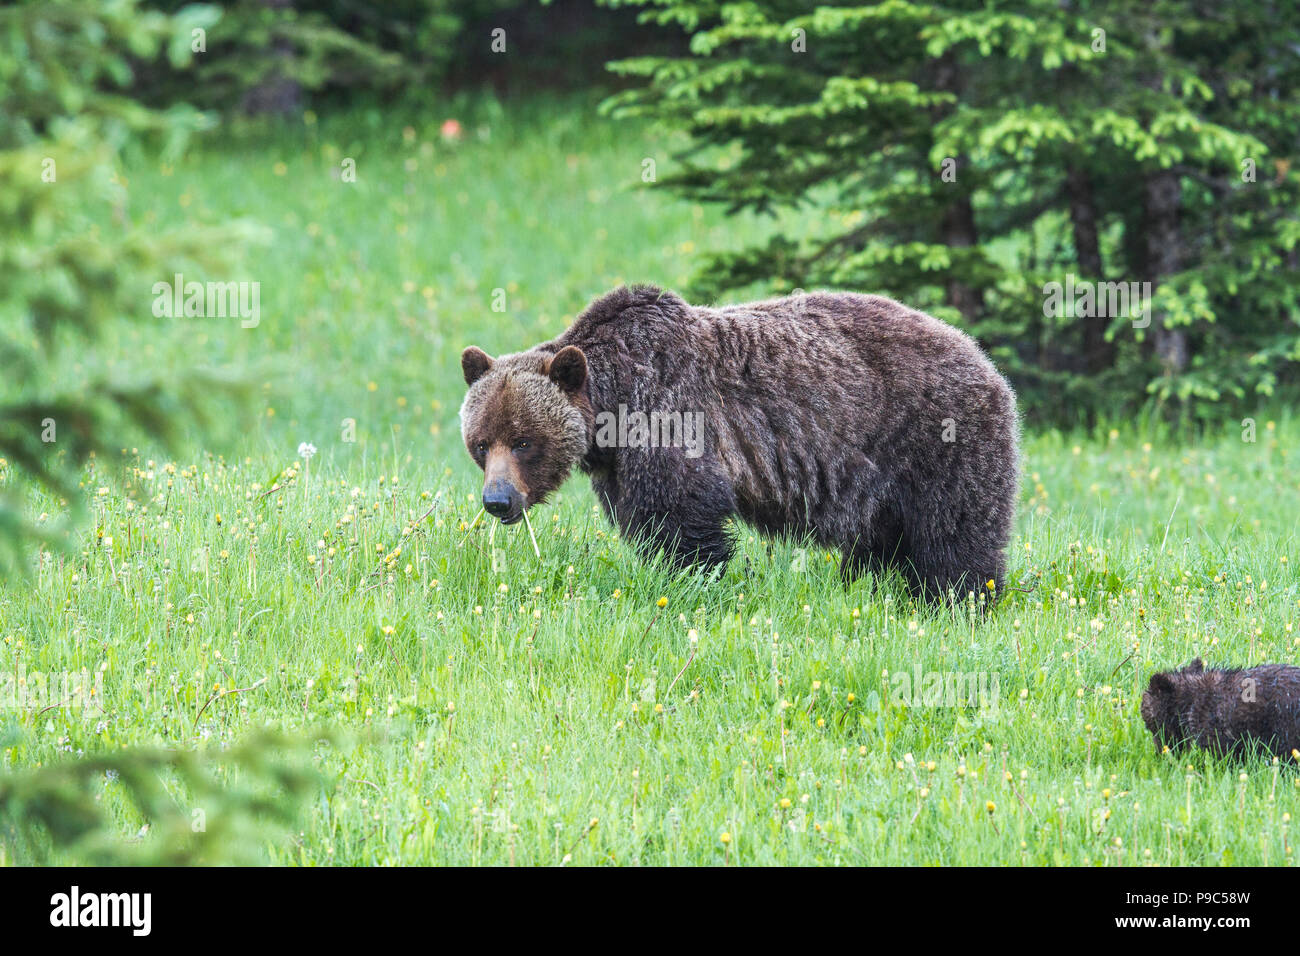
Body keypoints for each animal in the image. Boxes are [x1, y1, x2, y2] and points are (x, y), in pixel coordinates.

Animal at [459, 285, 1019, 602]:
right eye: (482, 443)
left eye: (524, 441)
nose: (497, 500)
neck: (612, 407)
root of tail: (985, 359)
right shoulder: (620, 465)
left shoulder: (670, 415)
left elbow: (681, 516)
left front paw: (700, 580)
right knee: (880, 543)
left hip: (934, 438)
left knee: (953, 534)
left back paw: (959, 600)